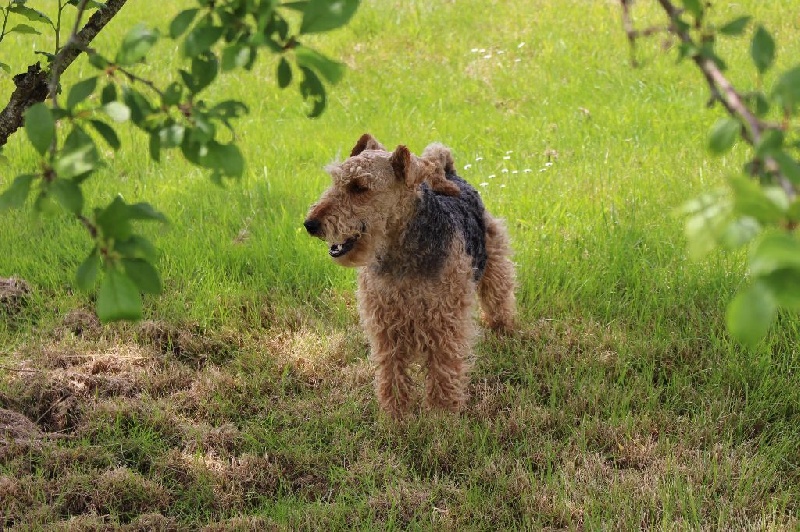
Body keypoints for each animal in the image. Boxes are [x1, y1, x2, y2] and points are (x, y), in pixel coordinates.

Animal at [304, 133, 516, 416]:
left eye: (360, 187)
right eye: (335, 181)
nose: (310, 224)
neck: (401, 254)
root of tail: (451, 173)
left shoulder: (444, 321)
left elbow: (443, 368)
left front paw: (441, 413)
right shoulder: (384, 323)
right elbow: (391, 370)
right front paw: (396, 413)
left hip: (494, 257)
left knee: (499, 296)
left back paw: (504, 330)